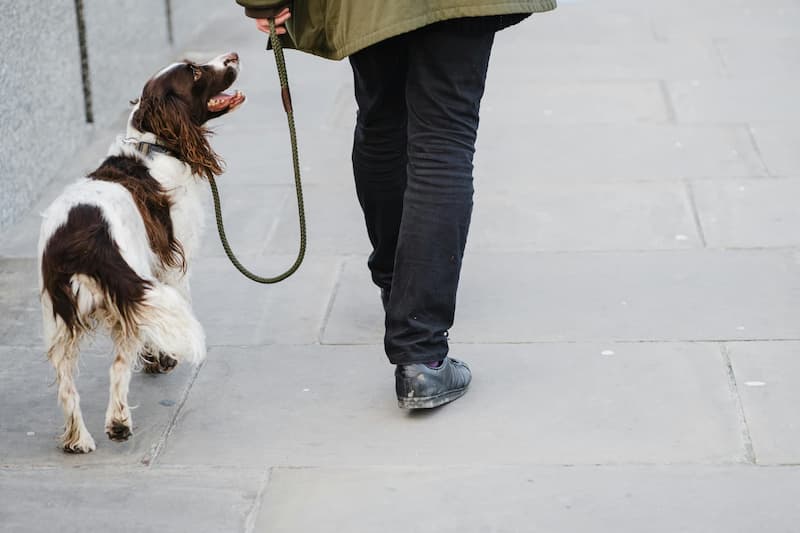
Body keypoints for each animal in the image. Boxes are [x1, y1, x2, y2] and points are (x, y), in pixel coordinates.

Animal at [39, 53, 244, 454]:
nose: (232, 56)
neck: (154, 145)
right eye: (194, 72)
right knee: (118, 368)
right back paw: (118, 423)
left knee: (67, 384)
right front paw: (161, 358)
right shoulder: (170, 263)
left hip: (60, 320)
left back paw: (78, 439)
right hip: (125, 291)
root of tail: (81, 241)